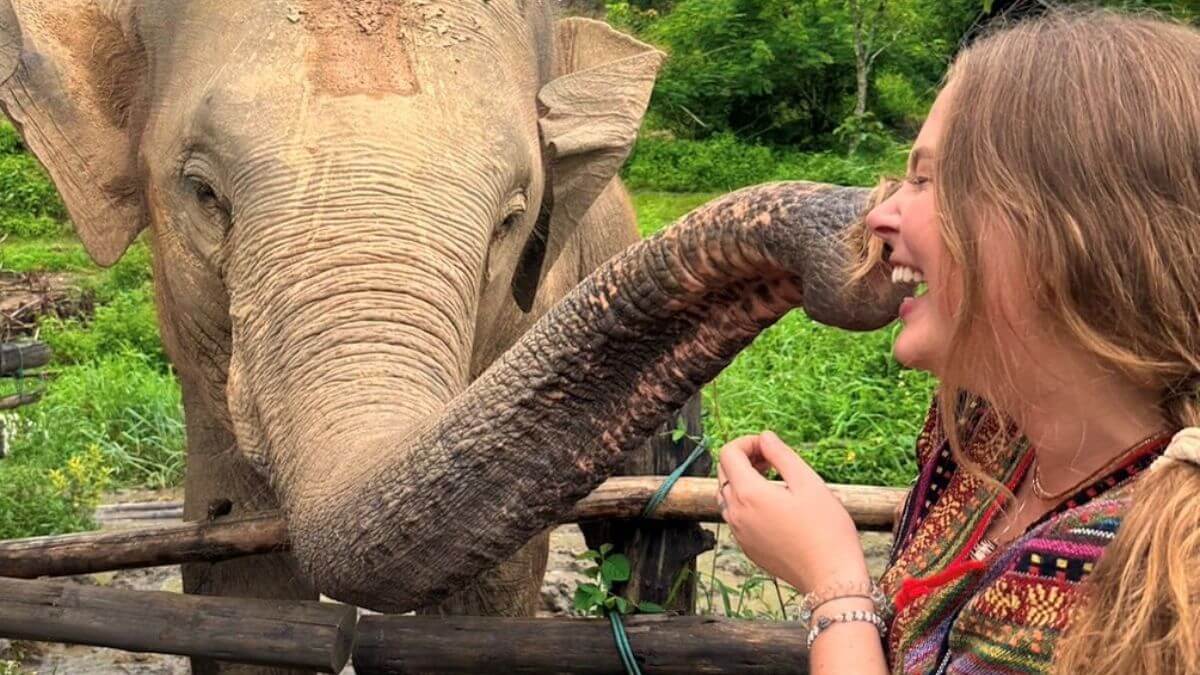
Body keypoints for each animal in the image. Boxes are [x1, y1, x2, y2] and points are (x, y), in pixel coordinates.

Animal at [0, 0, 902, 667]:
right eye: (201, 192)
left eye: (511, 218)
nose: (868, 238)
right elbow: (234, 574)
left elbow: (492, 587)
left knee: (653, 534)